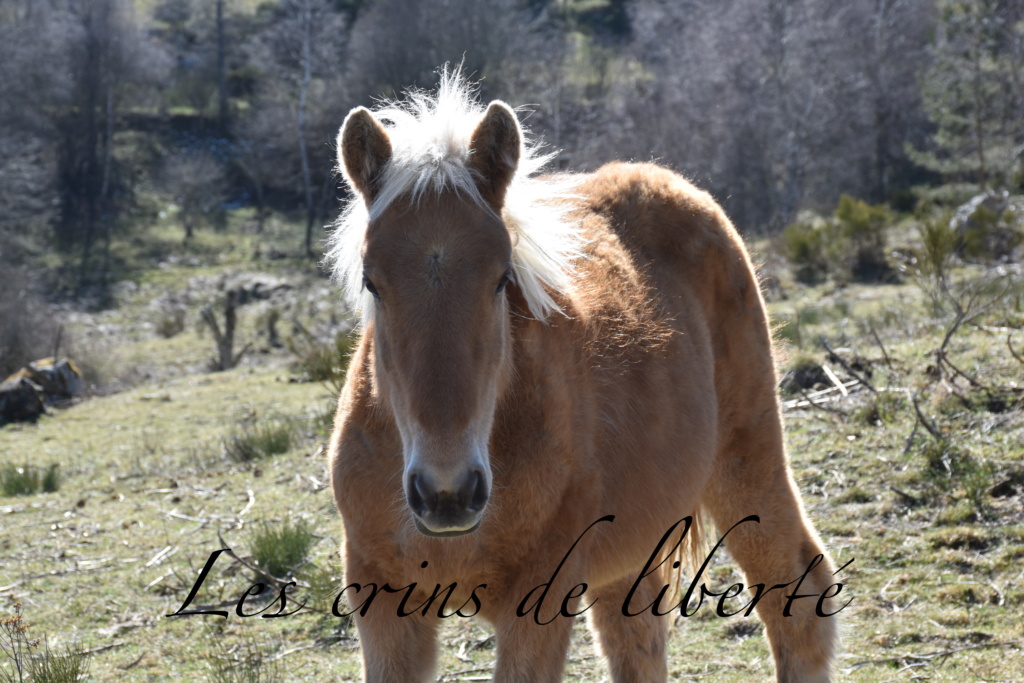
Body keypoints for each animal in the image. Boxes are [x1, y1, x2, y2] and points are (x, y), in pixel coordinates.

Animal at [327, 74, 839, 683]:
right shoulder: (383, 604)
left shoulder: (538, 606)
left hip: (748, 461)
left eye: (501, 277)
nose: (446, 494)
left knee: (798, 601)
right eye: (371, 280)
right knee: (638, 644)